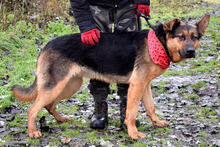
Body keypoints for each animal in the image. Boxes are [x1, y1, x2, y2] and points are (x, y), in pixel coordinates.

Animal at [11, 14, 210, 139]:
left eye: (195, 37)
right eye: (181, 37)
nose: (191, 52)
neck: (160, 43)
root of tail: (47, 45)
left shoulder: (144, 85)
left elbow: (151, 107)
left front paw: (157, 123)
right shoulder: (137, 84)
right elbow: (131, 112)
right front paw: (133, 134)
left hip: (70, 85)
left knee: (48, 105)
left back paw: (60, 119)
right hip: (57, 85)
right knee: (32, 109)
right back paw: (33, 132)